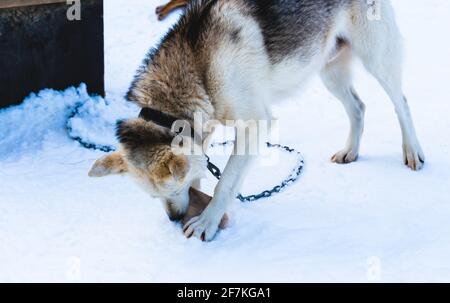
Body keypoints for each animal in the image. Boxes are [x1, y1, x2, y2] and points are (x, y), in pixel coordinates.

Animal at [90, 0, 426, 242]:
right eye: (154, 196)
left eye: (175, 188)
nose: (173, 218)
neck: (198, 66)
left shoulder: (255, 125)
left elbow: (225, 182)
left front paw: (207, 222)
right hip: (328, 70)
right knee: (358, 108)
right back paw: (350, 150)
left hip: (377, 59)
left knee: (402, 103)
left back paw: (412, 150)